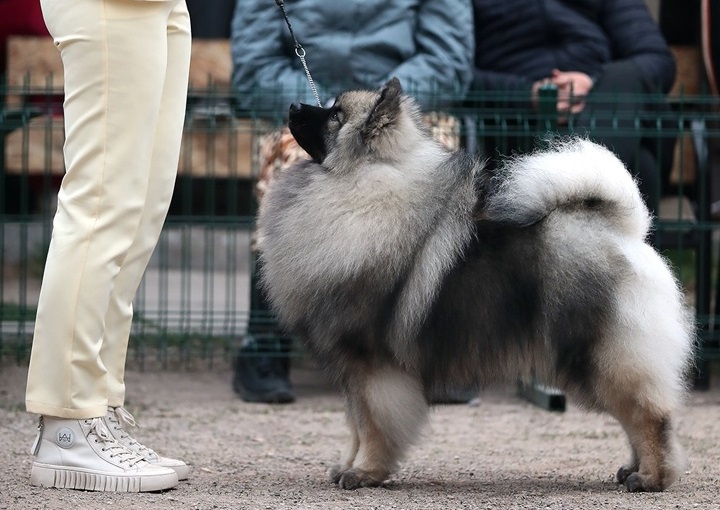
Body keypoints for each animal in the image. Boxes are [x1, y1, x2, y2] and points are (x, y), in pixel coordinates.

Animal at [256, 77, 696, 492]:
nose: (293, 105)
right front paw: (348, 466)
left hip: (602, 356)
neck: (360, 186)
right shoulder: (351, 372)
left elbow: (374, 427)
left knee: (648, 417)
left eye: (335, 115)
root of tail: (624, 231)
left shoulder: (372, 366)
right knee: (635, 418)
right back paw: (631, 470)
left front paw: (365, 472)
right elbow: (355, 426)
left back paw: (651, 478)